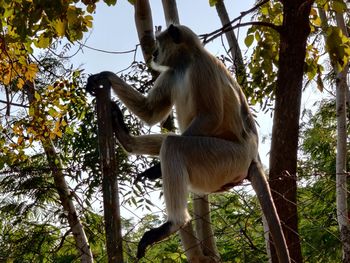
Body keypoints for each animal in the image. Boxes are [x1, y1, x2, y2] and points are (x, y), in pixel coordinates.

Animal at [87, 24, 290, 263]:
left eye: (159, 43)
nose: (153, 53)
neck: (186, 63)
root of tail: (251, 156)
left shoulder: (202, 67)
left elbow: (211, 116)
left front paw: (156, 169)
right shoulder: (171, 72)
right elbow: (150, 112)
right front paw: (105, 77)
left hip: (226, 159)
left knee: (174, 144)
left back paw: (174, 223)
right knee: (168, 140)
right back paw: (126, 139)